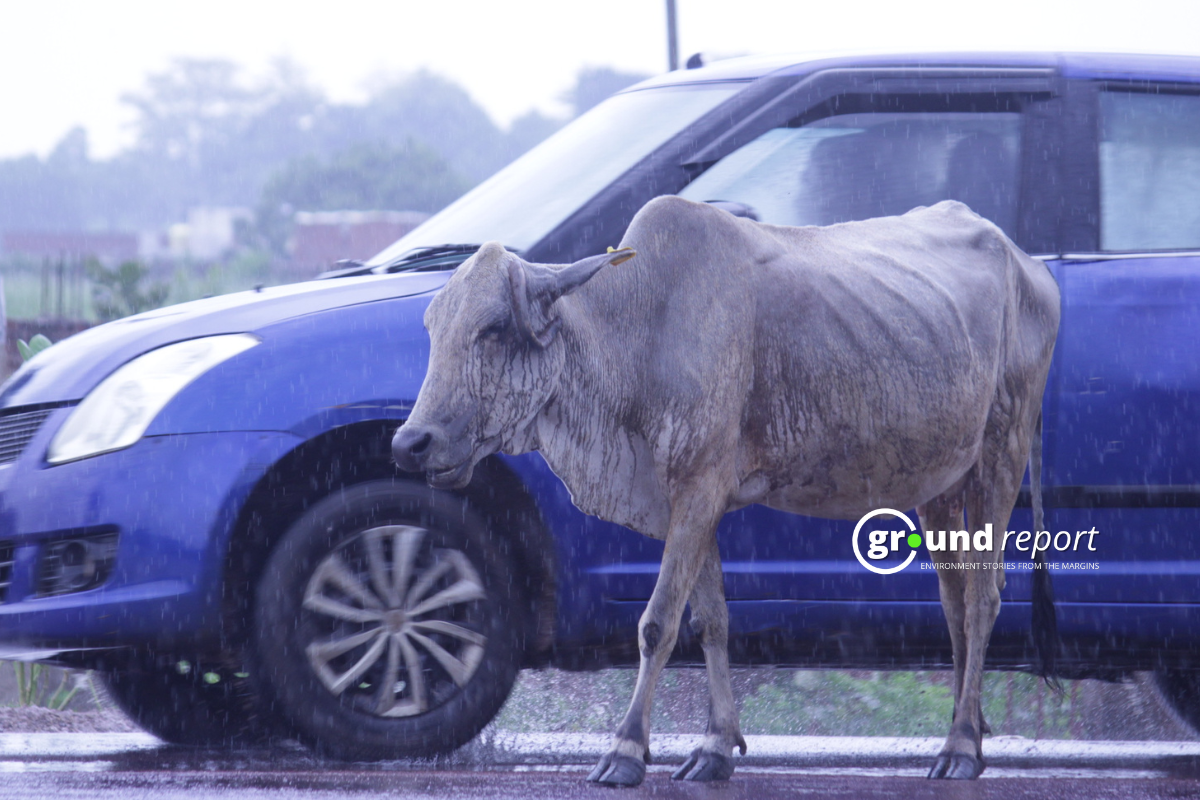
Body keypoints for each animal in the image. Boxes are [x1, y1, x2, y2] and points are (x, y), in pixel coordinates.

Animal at [393, 196, 1061, 785]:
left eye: (493, 328)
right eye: (430, 327)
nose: (410, 442)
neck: (638, 330)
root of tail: (1027, 263)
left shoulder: (698, 488)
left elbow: (658, 623)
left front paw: (626, 749)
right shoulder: (690, 505)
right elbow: (710, 621)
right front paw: (715, 746)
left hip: (1002, 452)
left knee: (984, 599)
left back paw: (962, 746)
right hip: (939, 484)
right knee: (954, 600)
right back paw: (969, 727)